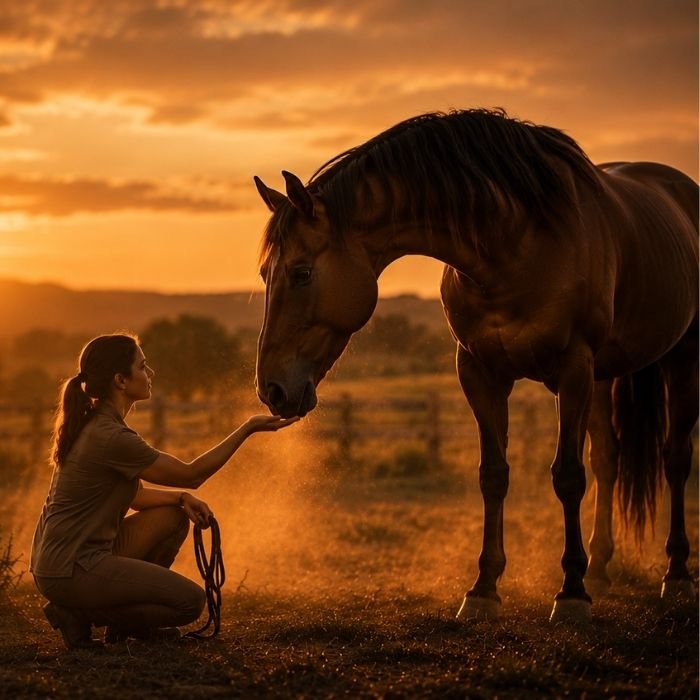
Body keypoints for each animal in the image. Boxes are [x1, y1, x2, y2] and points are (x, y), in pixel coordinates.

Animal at [253, 109, 698, 623]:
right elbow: (494, 474)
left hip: (680, 360)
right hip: (603, 380)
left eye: (302, 273)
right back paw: (602, 568)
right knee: (608, 460)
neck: (517, 244)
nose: (271, 389)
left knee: (674, 458)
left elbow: (567, 476)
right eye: (265, 273)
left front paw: (570, 592)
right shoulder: (480, 372)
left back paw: (676, 574)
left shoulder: (573, 369)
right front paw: (484, 589)